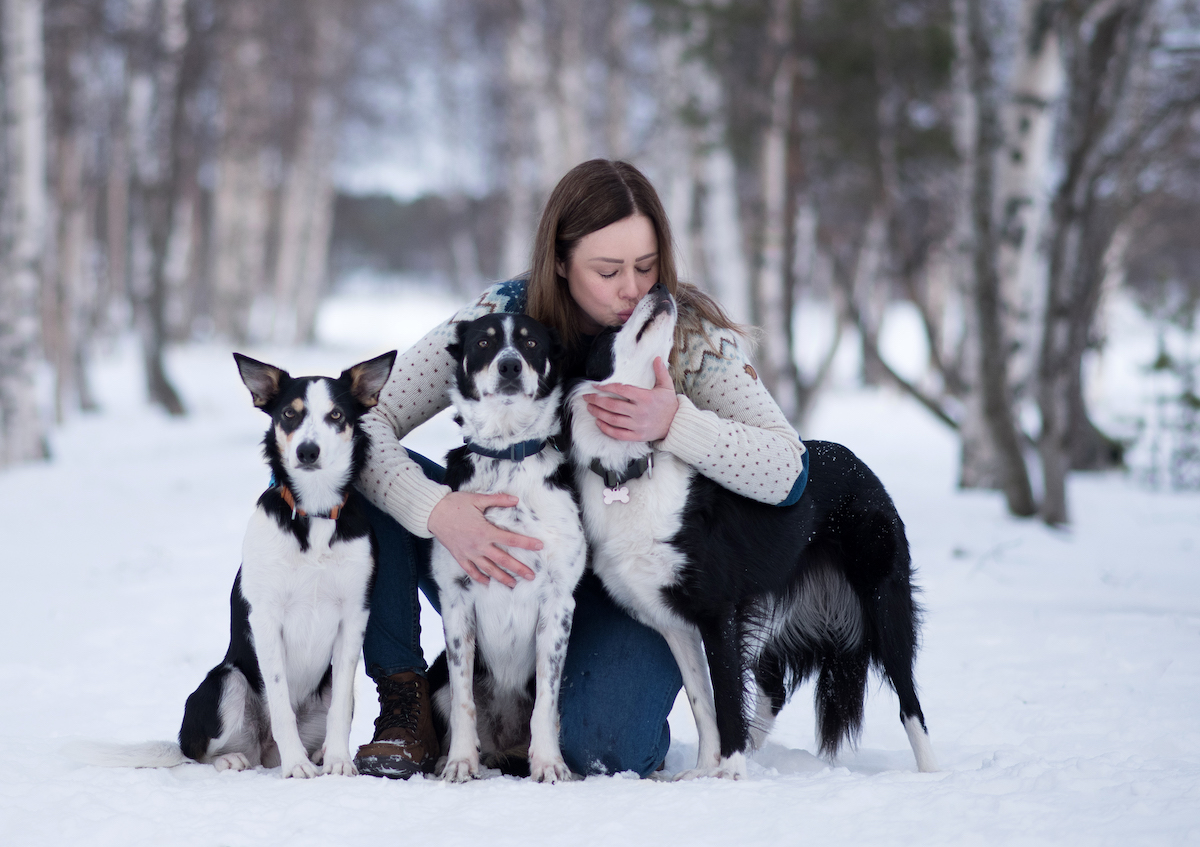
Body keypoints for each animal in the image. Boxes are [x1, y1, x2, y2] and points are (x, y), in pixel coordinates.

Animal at [81, 350, 398, 777]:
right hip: (225, 681)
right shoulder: (266, 616)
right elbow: (279, 701)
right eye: (289, 414)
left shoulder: (354, 616)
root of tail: (264, 752)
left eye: (336, 415)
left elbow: (340, 709)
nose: (307, 451)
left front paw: (337, 761)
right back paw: (238, 758)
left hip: (321, 684)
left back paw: (314, 754)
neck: (313, 512)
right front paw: (297, 767)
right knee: (199, 753)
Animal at [432, 314, 585, 782]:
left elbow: (547, 704)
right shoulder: (456, 599)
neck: (507, 457)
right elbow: (462, 700)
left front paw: (549, 763)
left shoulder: (558, 600)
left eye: (530, 342)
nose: (510, 366)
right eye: (483, 343)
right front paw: (461, 761)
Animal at [564, 283, 936, 777]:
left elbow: (724, 698)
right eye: (612, 329)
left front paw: (731, 774)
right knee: (774, 688)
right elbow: (703, 703)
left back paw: (931, 773)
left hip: (882, 601)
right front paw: (705, 772)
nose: (659, 288)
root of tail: (858, 464)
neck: (628, 470)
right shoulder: (675, 623)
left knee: (910, 702)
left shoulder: (718, 611)